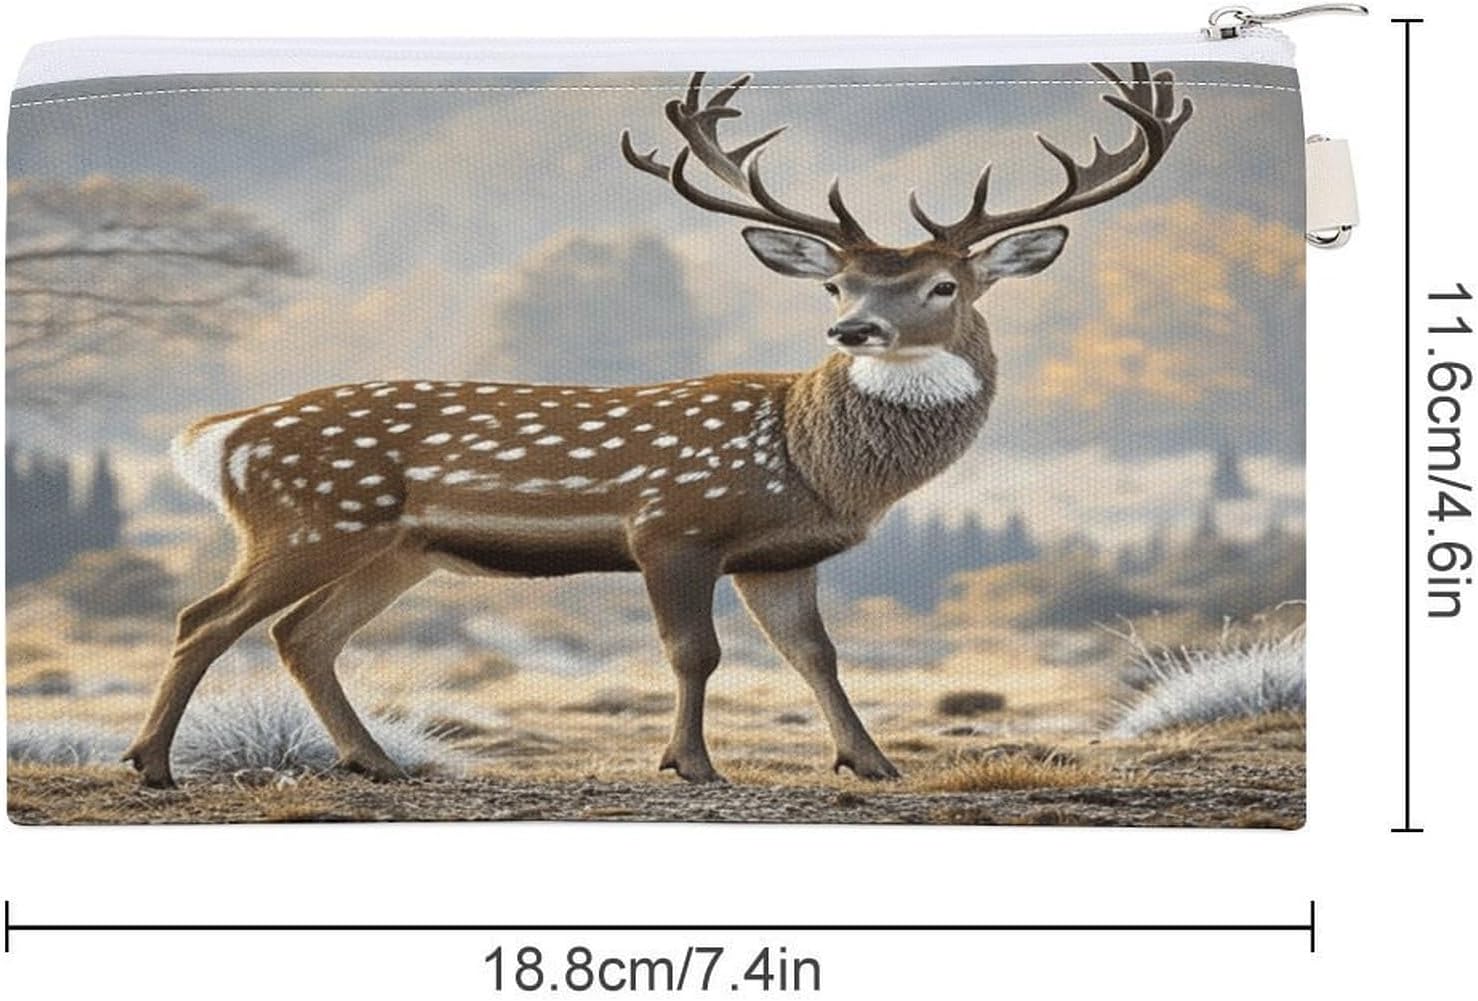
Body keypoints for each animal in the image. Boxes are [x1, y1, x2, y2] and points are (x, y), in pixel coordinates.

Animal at [123, 63, 1190, 788]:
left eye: (943, 285)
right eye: (838, 282)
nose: (851, 328)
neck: (808, 458)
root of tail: (215, 437)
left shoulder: (779, 554)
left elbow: (814, 653)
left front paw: (872, 762)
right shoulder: (673, 523)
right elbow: (694, 651)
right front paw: (692, 764)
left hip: (399, 546)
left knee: (303, 633)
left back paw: (376, 761)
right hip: (311, 516)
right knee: (206, 616)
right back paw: (153, 763)